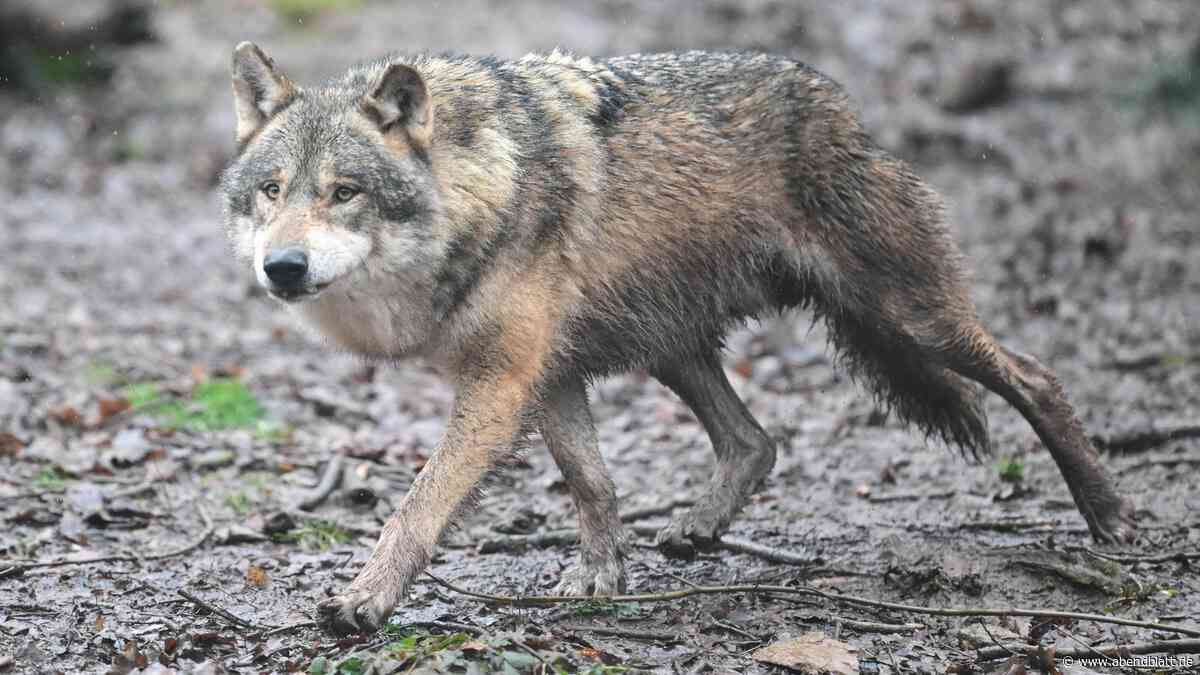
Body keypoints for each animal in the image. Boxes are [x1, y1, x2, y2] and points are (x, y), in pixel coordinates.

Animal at [220, 42, 1137, 635]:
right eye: (272, 190)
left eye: (344, 192)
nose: (283, 267)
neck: (480, 186)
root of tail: (841, 105)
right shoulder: (547, 375)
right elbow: (591, 482)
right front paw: (601, 575)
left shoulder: (502, 382)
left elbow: (416, 508)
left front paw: (364, 599)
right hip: (671, 345)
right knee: (756, 440)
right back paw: (697, 527)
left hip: (908, 317)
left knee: (1037, 375)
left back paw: (1110, 516)